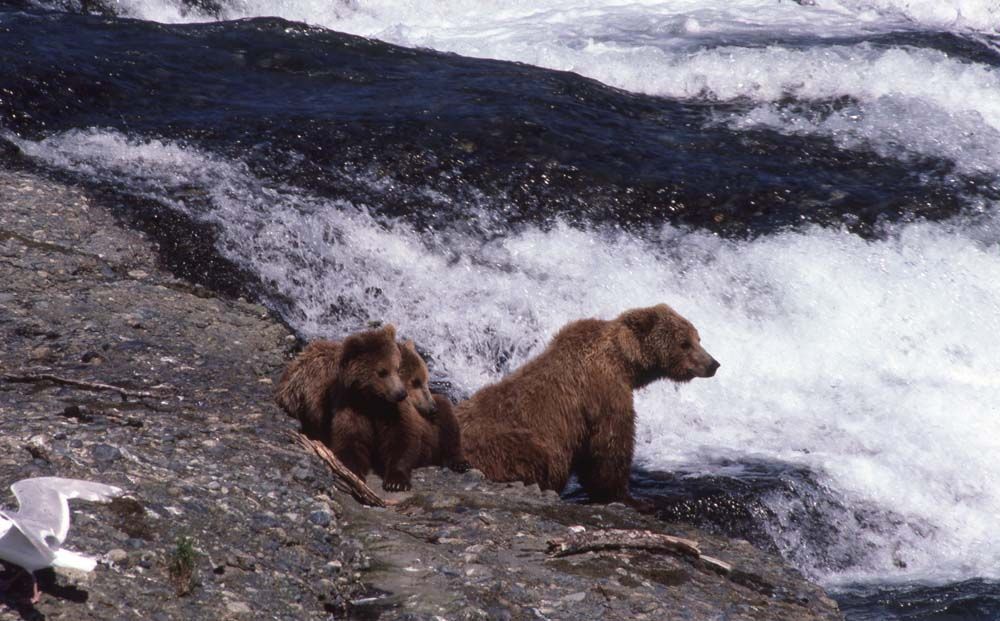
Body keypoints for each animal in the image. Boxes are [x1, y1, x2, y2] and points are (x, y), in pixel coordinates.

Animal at [455, 303, 719, 506]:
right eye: (684, 343)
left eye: (698, 338)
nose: (713, 364)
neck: (624, 363)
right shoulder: (605, 395)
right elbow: (608, 449)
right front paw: (631, 499)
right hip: (512, 445)